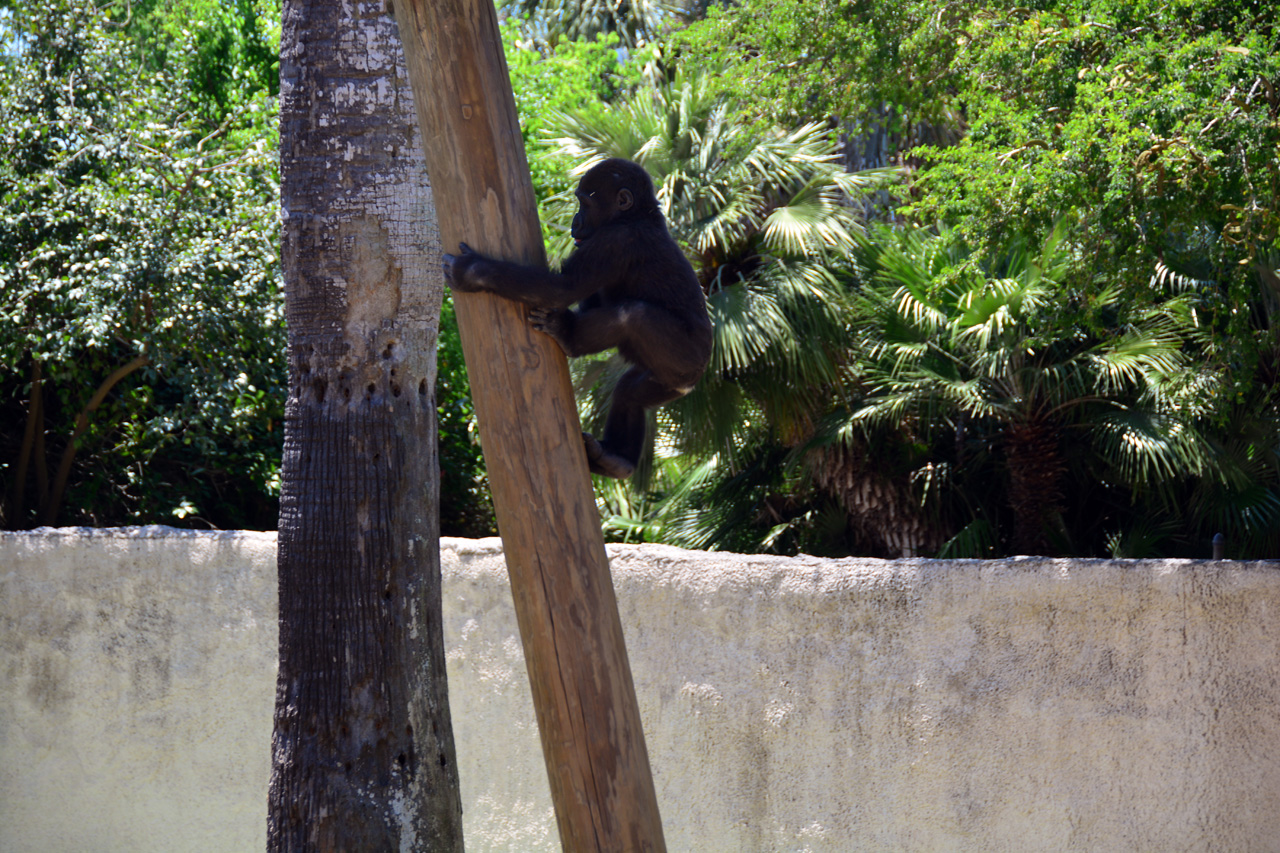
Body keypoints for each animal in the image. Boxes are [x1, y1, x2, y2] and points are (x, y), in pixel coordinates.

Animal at [448, 157, 711, 479]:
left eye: (584, 203)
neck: (637, 215)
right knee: (631, 392)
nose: (575, 220)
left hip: (684, 358)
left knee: (634, 316)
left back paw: (568, 335)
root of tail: (695, 378)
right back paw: (617, 459)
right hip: (668, 381)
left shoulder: (616, 241)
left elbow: (563, 287)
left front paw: (470, 271)